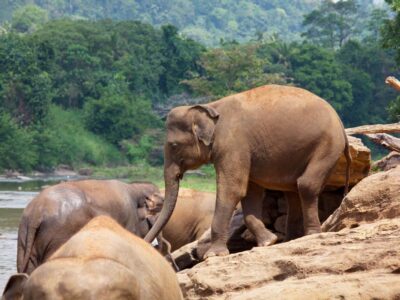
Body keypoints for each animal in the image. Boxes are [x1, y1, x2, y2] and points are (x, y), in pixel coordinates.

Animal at [16, 179, 162, 274]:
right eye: (160, 203)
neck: (135, 188)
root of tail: (37, 212)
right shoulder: (129, 220)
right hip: (59, 233)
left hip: (25, 234)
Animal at [145, 84, 350, 258]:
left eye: (173, 145)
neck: (210, 107)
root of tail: (340, 122)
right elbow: (250, 192)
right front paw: (269, 242)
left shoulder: (233, 144)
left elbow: (232, 189)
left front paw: (213, 255)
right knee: (293, 191)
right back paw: (290, 239)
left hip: (327, 145)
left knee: (306, 185)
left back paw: (311, 234)